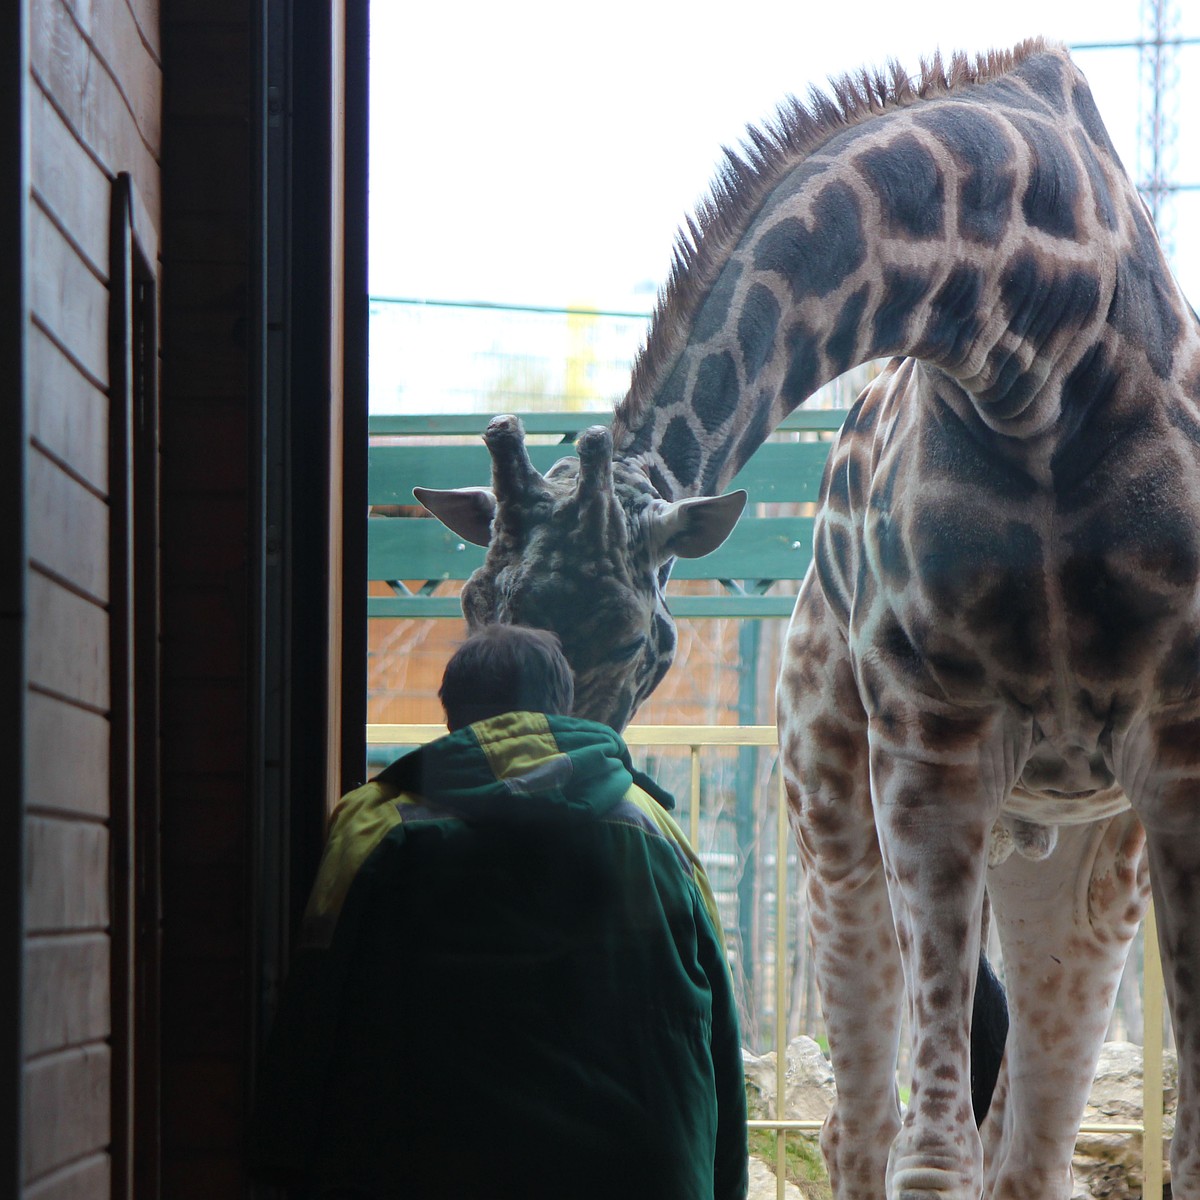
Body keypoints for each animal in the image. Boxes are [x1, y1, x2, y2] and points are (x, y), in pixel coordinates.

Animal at [417, 37, 1200, 1200]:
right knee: (867, 1126)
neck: (1044, 351)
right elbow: (928, 1150)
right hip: (835, 804)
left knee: (1027, 1144)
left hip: (1087, 855)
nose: (532, 843)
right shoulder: (929, 738)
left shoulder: (1175, 749)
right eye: (474, 605)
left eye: (640, 642)